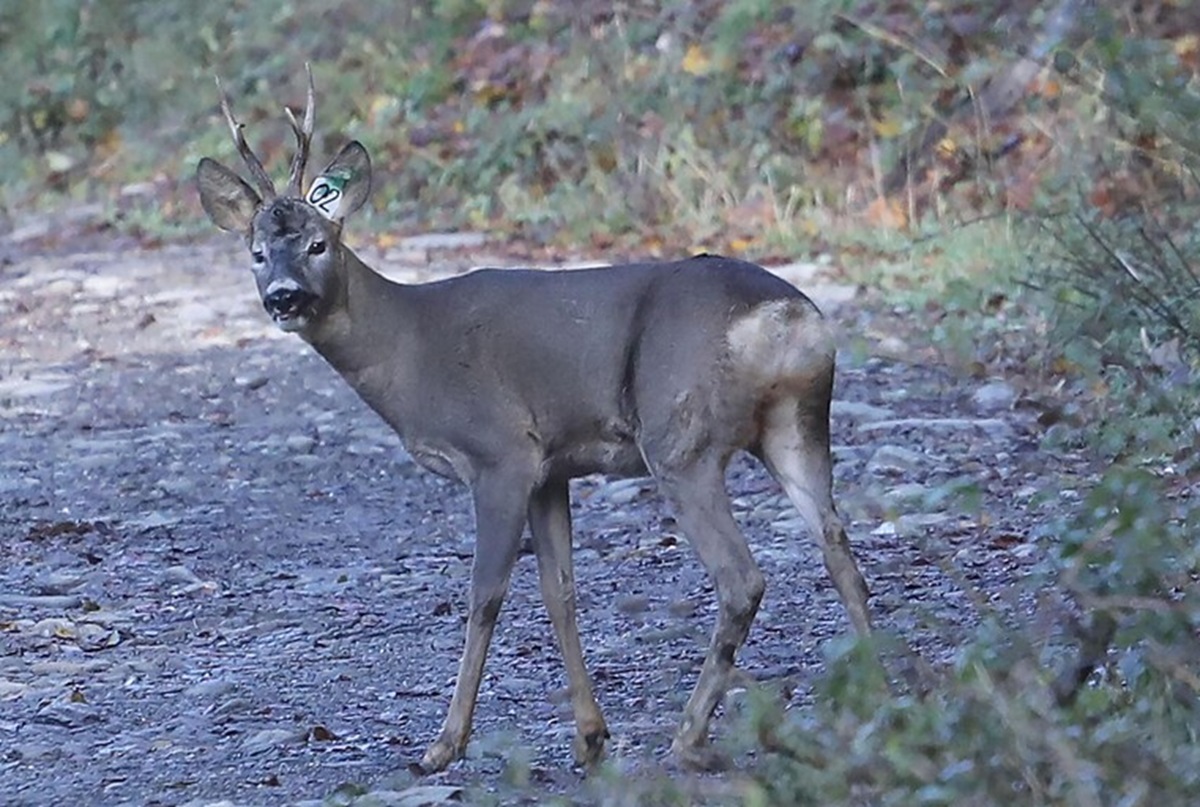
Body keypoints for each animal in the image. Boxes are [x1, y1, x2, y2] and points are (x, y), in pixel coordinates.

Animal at [196, 70, 873, 773]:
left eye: (318, 243)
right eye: (255, 253)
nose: (284, 297)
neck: (408, 348)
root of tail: (789, 318)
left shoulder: (500, 453)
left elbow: (485, 594)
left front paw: (444, 744)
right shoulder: (553, 467)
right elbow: (560, 592)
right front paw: (591, 734)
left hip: (679, 437)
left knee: (742, 578)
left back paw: (689, 737)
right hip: (795, 423)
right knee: (839, 548)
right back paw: (884, 689)